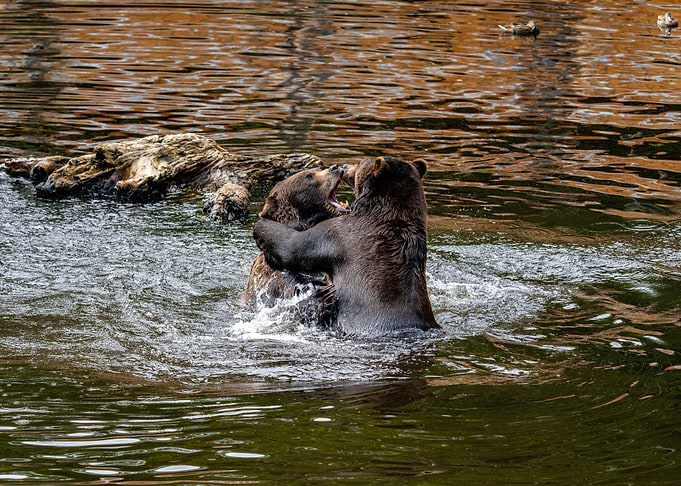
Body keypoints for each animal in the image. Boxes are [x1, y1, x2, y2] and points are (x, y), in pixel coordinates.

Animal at [253, 156, 439, 337]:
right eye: (309, 175)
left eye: (358, 163)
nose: (339, 166)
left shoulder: (336, 235)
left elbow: (294, 246)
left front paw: (261, 226)